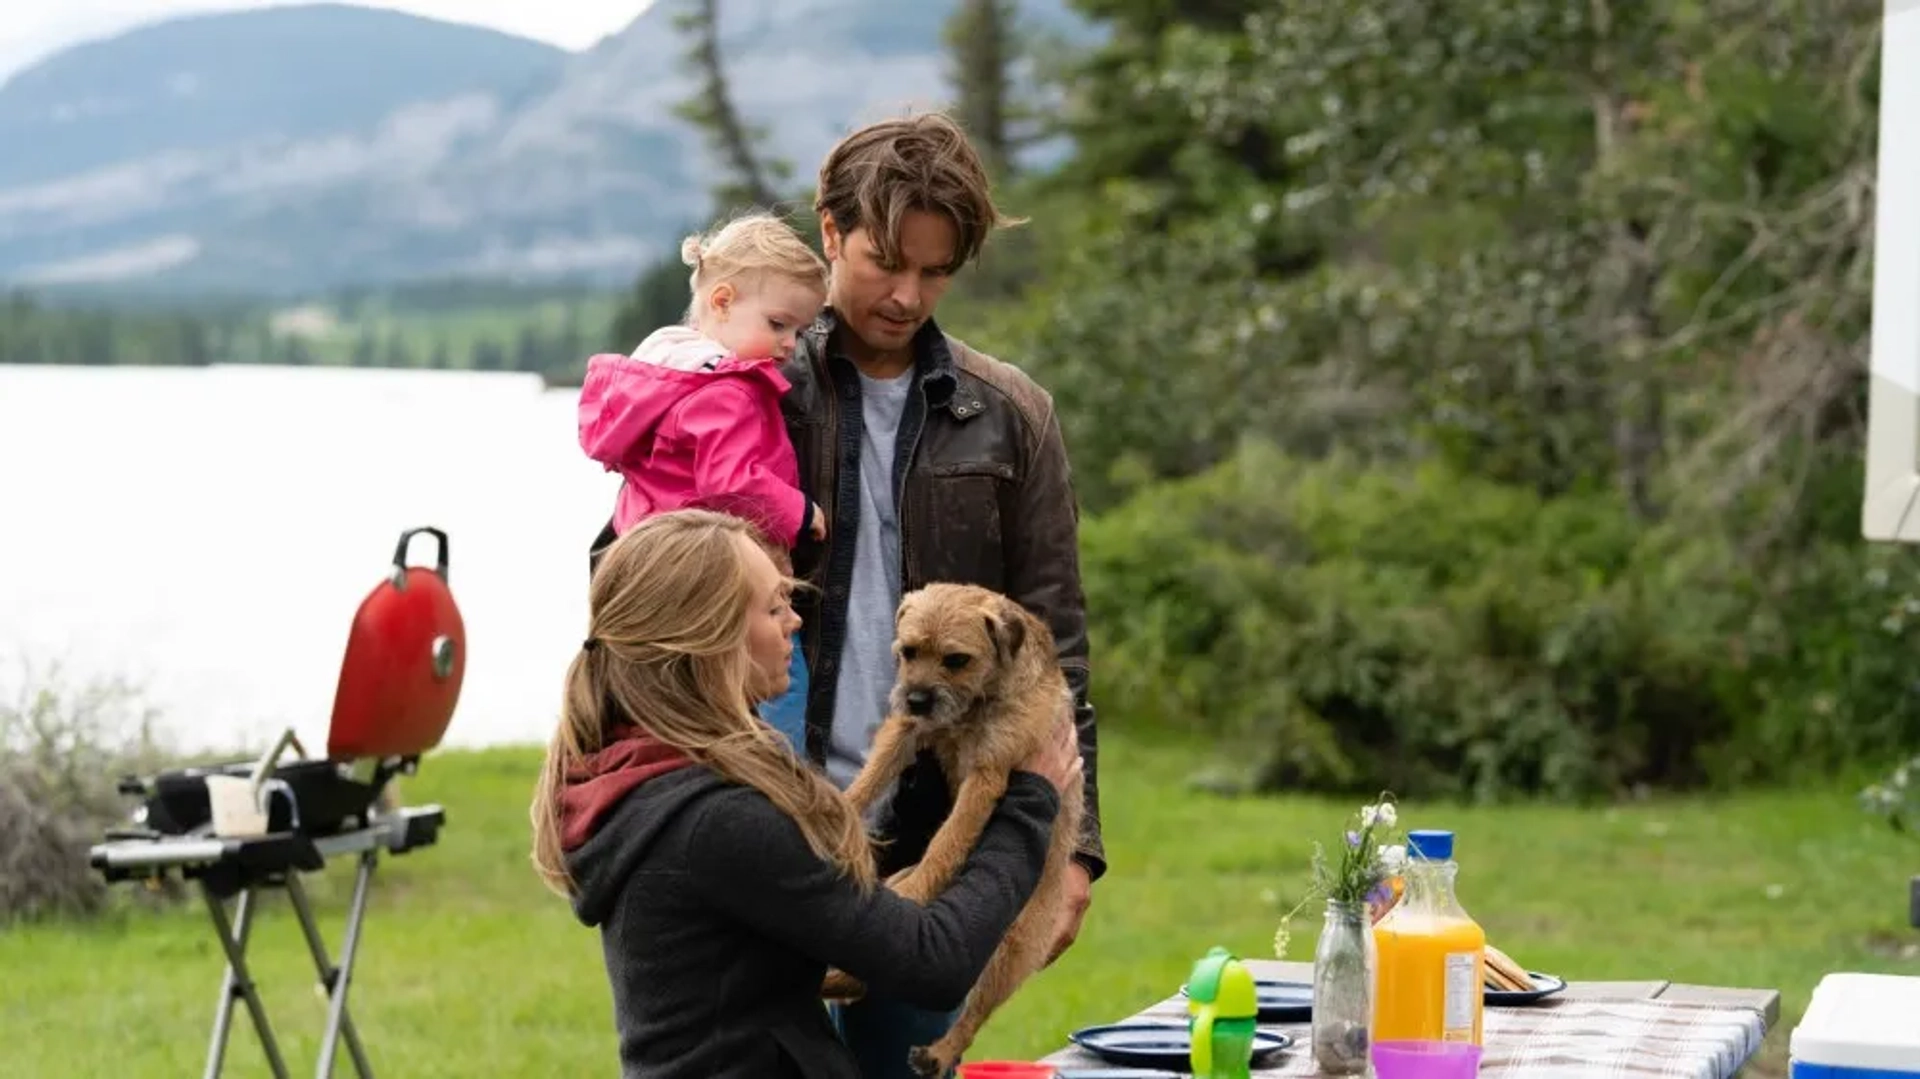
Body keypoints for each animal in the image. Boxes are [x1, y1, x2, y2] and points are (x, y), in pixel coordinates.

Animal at [821, 583, 1090, 1067]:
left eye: (956, 659)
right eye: (908, 652)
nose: (917, 698)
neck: (975, 705)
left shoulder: (987, 774)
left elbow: (948, 840)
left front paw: (919, 886)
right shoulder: (906, 731)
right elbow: (870, 778)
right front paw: (833, 809)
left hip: (1010, 948)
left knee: (974, 1012)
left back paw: (939, 1053)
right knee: (871, 976)